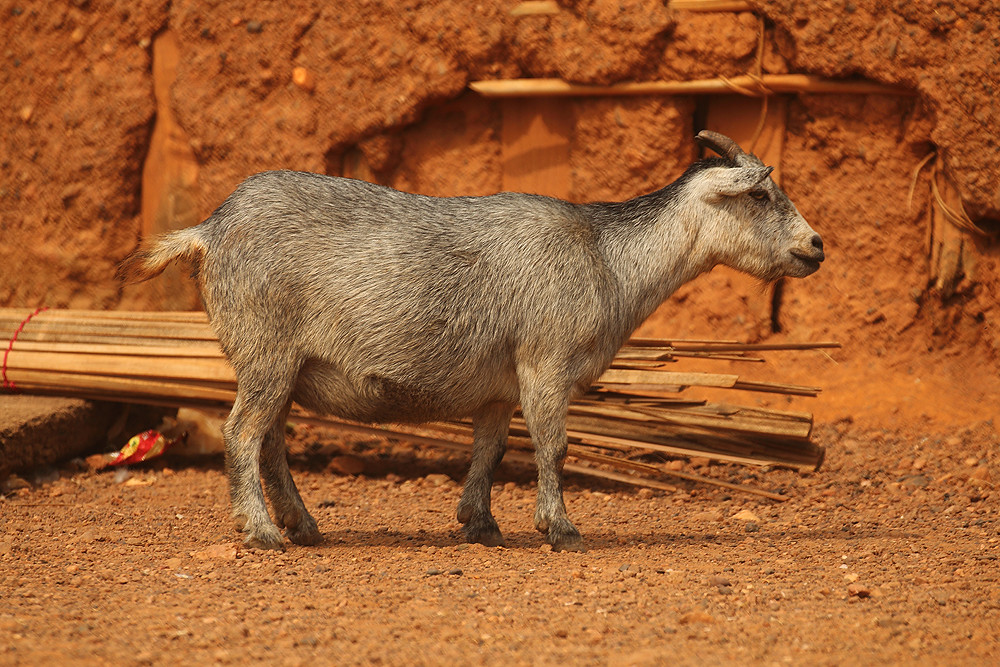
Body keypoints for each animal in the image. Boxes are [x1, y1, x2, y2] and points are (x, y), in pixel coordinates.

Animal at [117, 131, 824, 552]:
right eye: (761, 195)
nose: (816, 246)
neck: (608, 259)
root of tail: (209, 229)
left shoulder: (501, 388)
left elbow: (490, 449)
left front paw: (480, 524)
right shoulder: (546, 362)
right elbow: (554, 447)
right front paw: (560, 529)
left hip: (283, 366)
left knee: (270, 442)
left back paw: (305, 525)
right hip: (265, 351)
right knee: (242, 433)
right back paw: (264, 532)